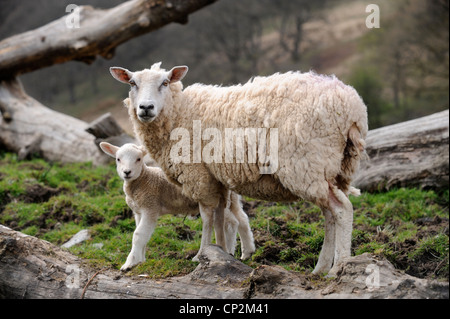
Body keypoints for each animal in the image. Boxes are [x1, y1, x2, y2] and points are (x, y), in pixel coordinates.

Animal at [100, 143, 255, 272]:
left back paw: (213, 253)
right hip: (232, 199)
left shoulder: (150, 207)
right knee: (241, 219)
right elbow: (142, 234)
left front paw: (129, 264)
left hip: (214, 199)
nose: (127, 172)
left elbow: (138, 235)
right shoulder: (138, 211)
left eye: (138, 159)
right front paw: (141, 260)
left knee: (224, 223)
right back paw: (246, 252)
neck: (144, 180)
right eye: (118, 159)